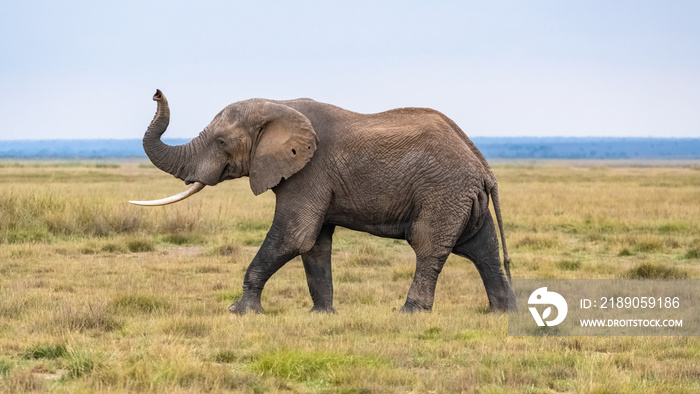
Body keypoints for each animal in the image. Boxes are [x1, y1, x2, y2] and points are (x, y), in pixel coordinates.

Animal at [130, 89, 516, 314]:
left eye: (222, 142)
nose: (155, 92)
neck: (280, 106)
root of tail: (483, 167)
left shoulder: (309, 172)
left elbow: (293, 236)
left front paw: (240, 312)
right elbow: (314, 244)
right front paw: (322, 316)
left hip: (442, 192)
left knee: (429, 246)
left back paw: (410, 313)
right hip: (462, 197)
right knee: (483, 249)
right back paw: (503, 313)